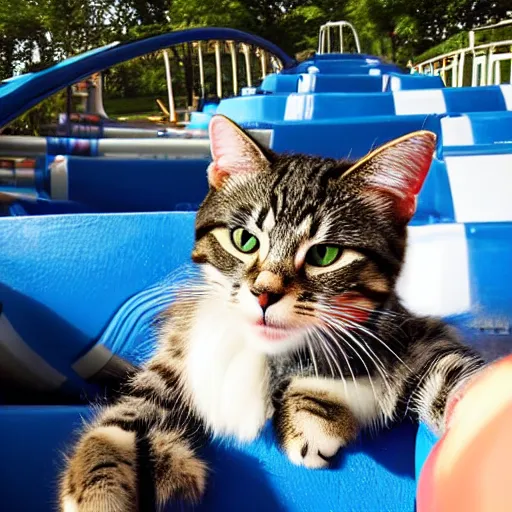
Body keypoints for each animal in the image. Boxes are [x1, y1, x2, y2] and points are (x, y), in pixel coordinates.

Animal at [61, 114, 484, 510]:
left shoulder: (413, 336)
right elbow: (125, 414)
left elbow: (453, 374)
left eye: (324, 254)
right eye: (244, 240)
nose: (264, 294)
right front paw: (97, 484)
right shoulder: (180, 353)